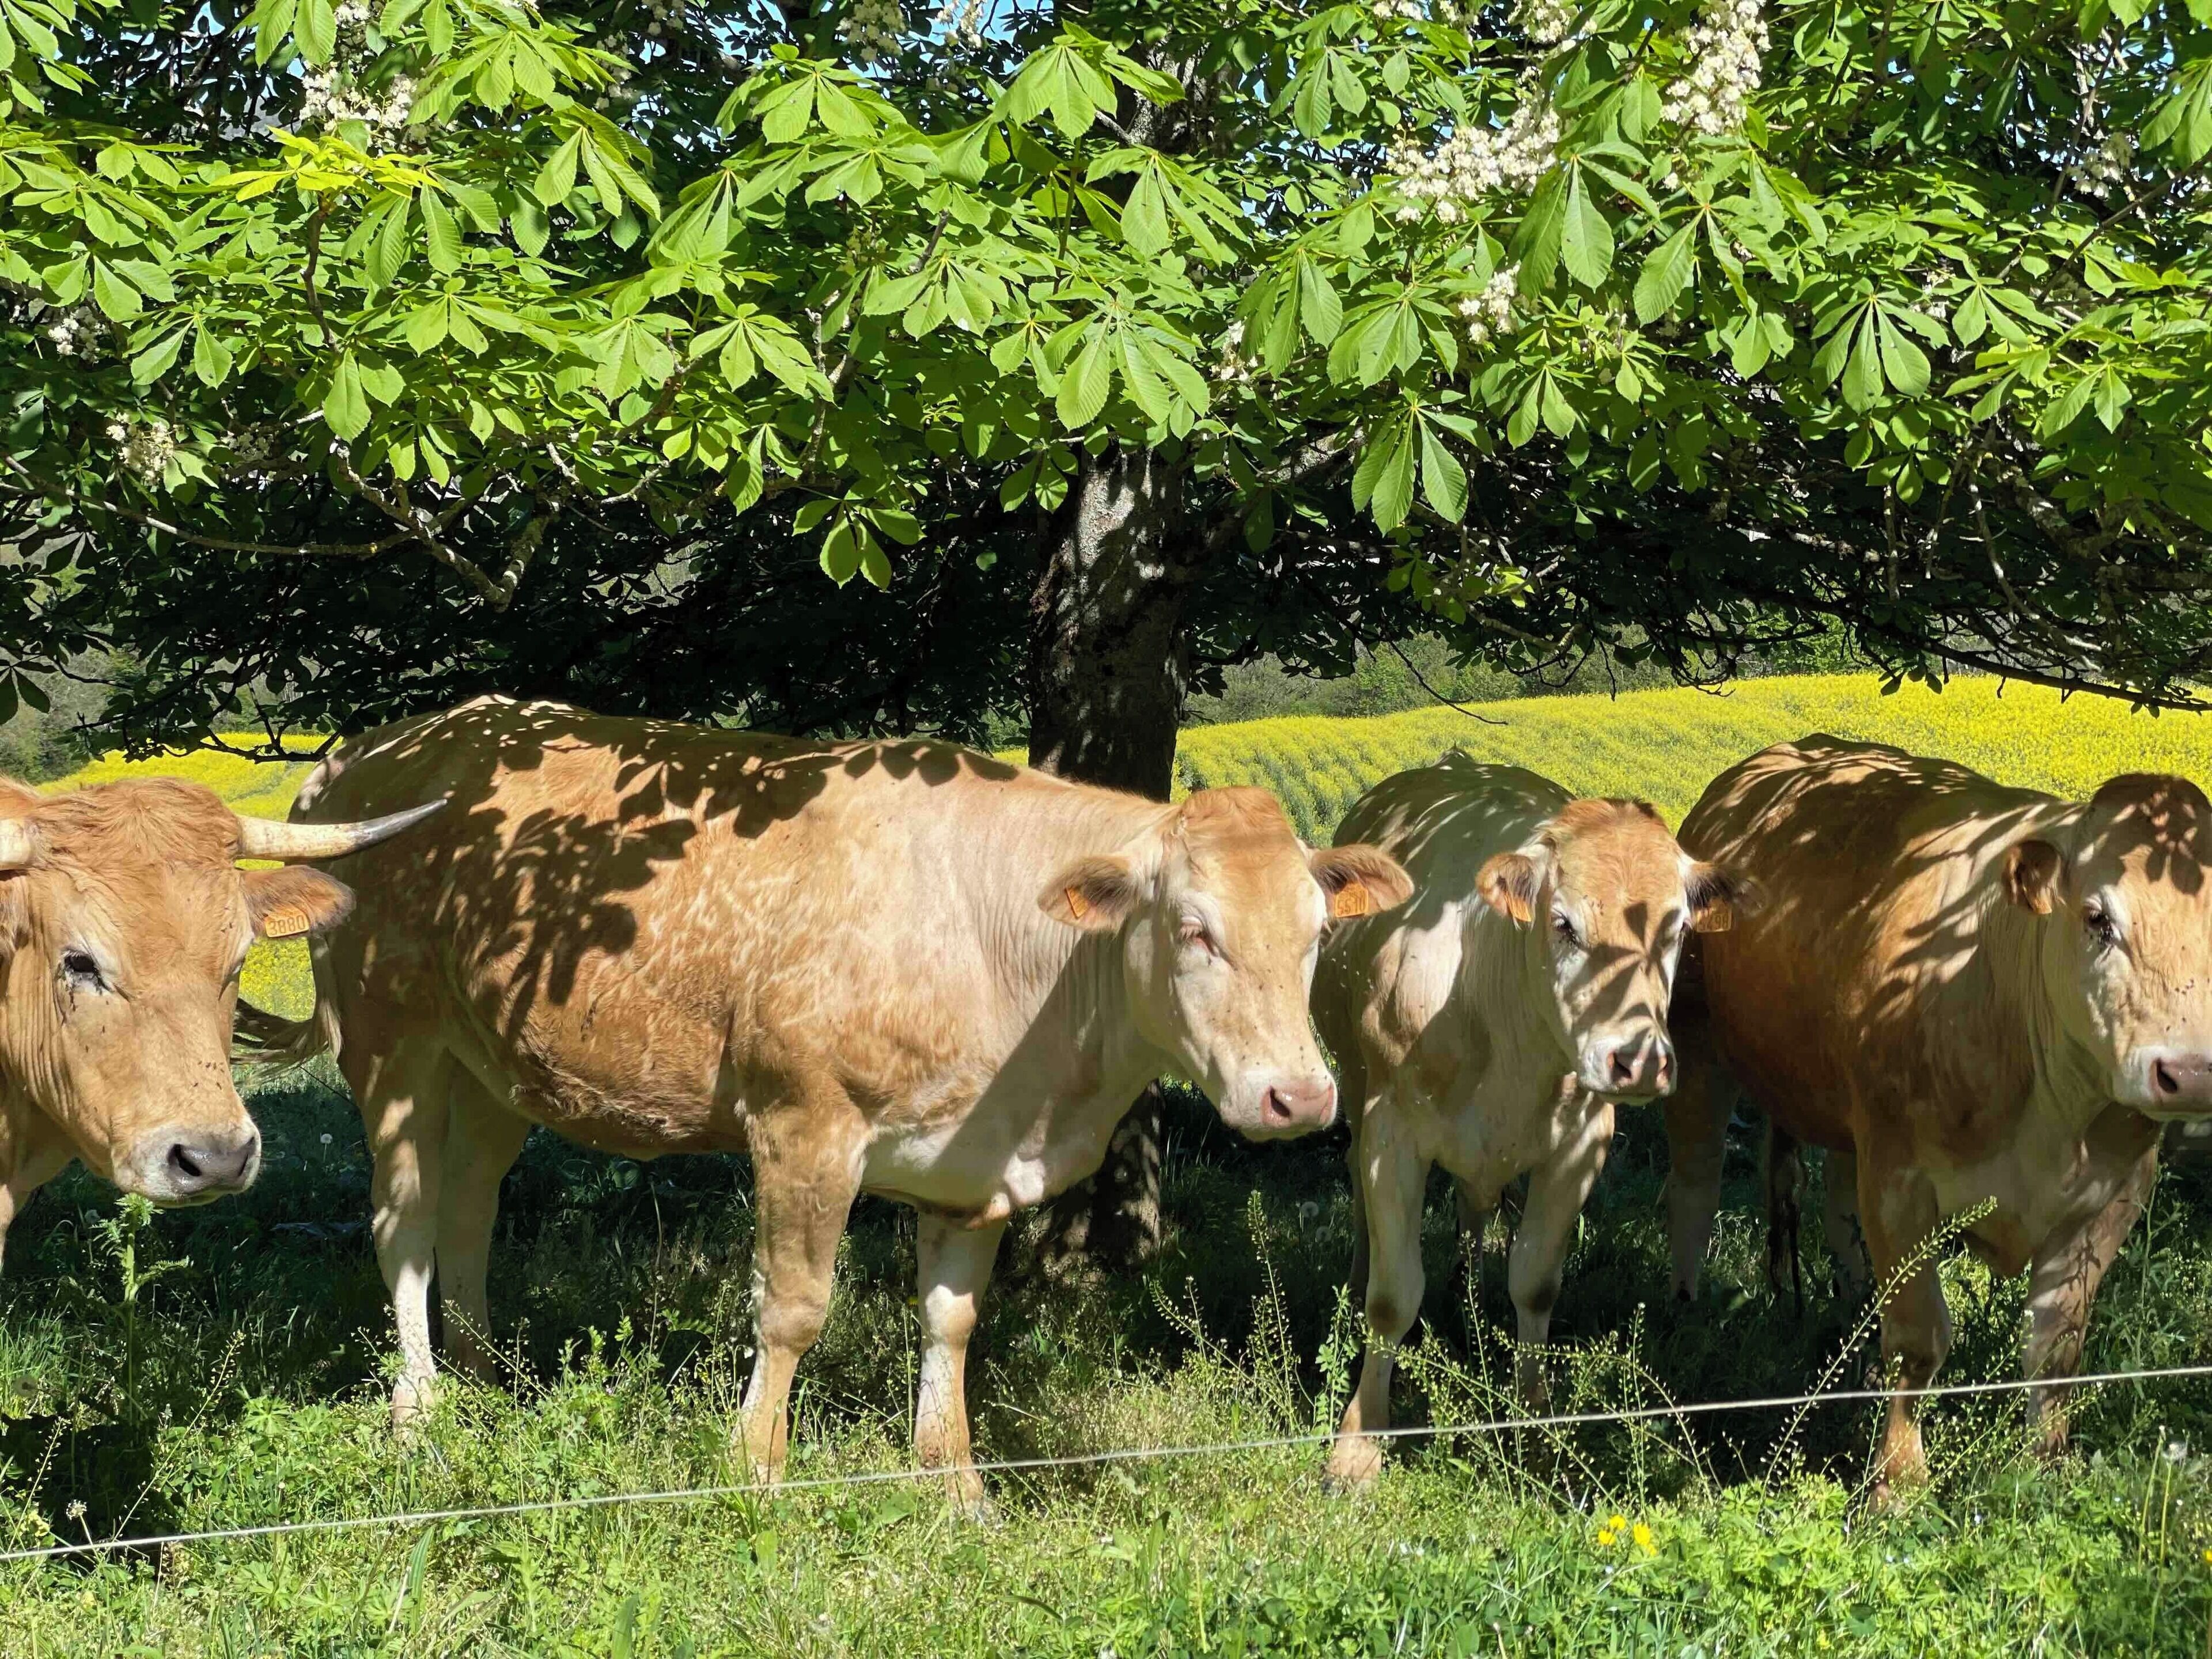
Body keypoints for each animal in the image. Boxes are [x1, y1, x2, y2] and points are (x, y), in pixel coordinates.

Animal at [248, 696, 1414, 1506]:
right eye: (1192, 928)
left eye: (1318, 930)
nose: (1300, 1095)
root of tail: (370, 753)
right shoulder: (803, 1122)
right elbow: (796, 1307)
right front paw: (754, 1473)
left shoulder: (971, 1164)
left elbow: (951, 1320)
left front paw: (956, 1486)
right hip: (392, 1045)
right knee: (402, 1224)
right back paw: (421, 1414)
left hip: (491, 1067)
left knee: (468, 1215)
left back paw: (490, 1387)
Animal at [1312, 755, 1747, 1486]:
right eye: (1564, 924)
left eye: (1675, 929)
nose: (1638, 1060)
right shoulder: (1391, 1135)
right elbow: (1392, 1296)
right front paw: (1359, 1443)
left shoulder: (1579, 1148)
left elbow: (1536, 1284)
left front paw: (1537, 1432)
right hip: (1353, 1083)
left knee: (1473, 1210)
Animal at [1662, 736, 2212, 1505]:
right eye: (2098, 918)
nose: (2189, 1072)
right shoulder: (1901, 1178)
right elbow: (1918, 1339)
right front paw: (1897, 1485)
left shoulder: (2114, 1194)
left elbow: (2057, 1348)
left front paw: (2043, 1467)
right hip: (1698, 1038)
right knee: (1694, 1180)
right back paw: (1686, 1314)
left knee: (1834, 1205)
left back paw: (1848, 1316)